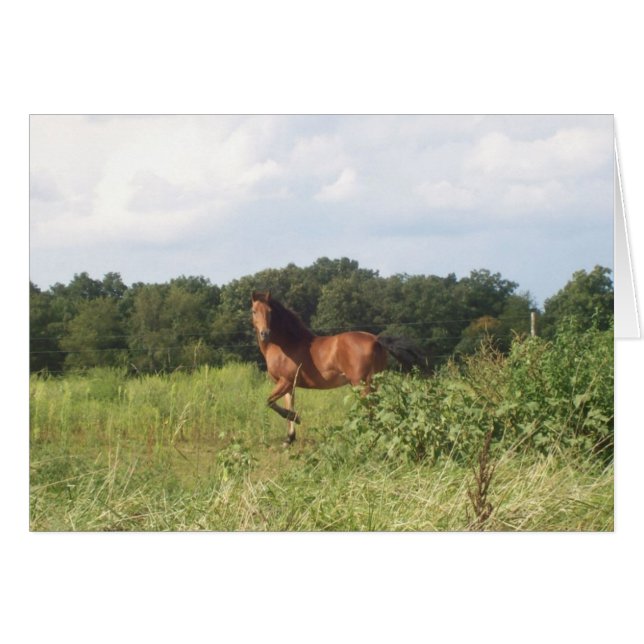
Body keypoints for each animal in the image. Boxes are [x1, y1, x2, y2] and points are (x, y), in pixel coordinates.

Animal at [250, 290, 424, 444]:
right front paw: (289, 438)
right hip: (373, 383)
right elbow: (288, 405)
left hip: (362, 385)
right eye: (254, 311)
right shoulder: (287, 384)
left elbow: (270, 402)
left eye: (270, 311)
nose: (264, 333)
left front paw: (296, 419)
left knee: (371, 410)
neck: (287, 344)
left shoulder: (285, 381)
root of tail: (375, 339)